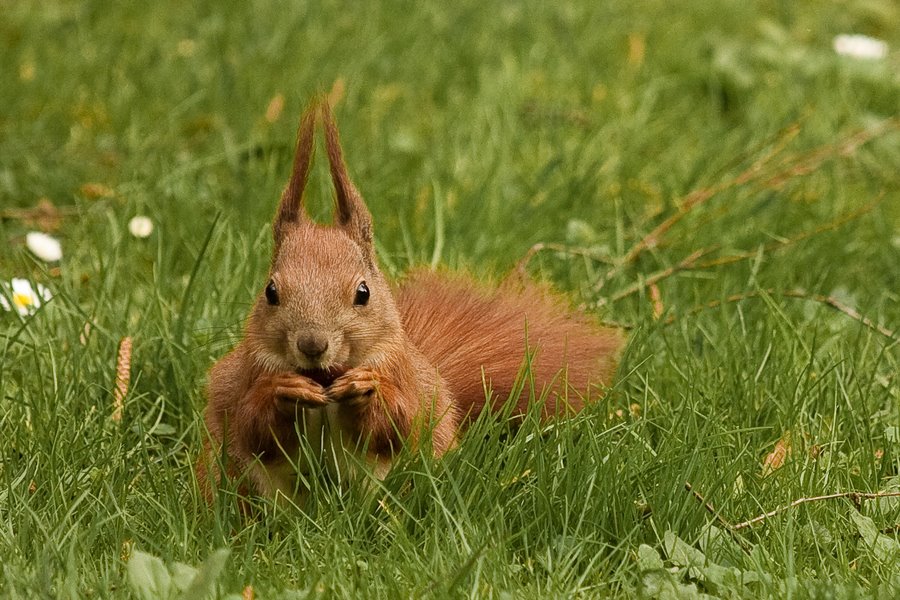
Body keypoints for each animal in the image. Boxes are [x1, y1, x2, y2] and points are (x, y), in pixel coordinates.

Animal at [200, 101, 624, 500]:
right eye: (271, 292)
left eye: (363, 293)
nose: (312, 345)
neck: (324, 377)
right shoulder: (249, 374)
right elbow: (252, 425)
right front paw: (282, 390)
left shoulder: (399, 371)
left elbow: (398, 421)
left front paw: (367, 387)